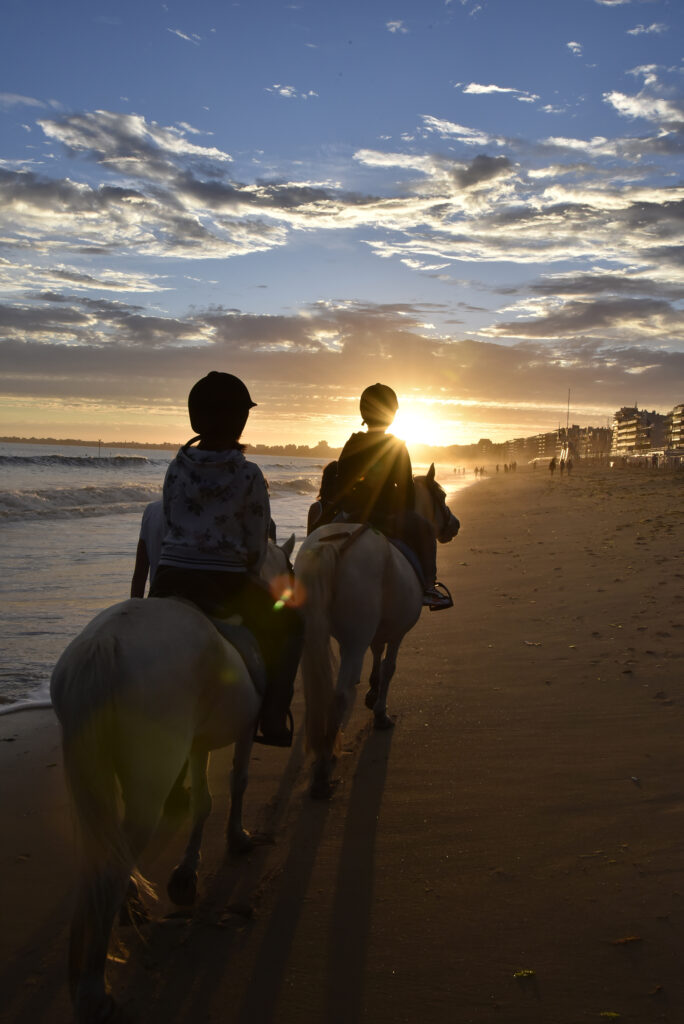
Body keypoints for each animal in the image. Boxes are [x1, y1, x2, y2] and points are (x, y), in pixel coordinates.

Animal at [50, 535, 295, 1024]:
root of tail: (104, 646)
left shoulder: (197, 741)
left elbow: (203, 799)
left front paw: (186, 873)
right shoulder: (245, 726)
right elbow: (237, 781)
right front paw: (238, 837)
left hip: (96, 771)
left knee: (105, 846)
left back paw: (126, 906)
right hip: (149, 782)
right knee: (112, 861)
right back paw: (94, 989)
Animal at [294, 465, 459, 798]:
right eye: (443, 495)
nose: (455, 524)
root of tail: (331, 546)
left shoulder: (381, 627)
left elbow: (377, 653)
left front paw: (371, 692)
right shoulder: (399, 632)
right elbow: (389, 667)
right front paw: (380, 711)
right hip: (354, 641)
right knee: (341, 695)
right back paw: (323, 770)